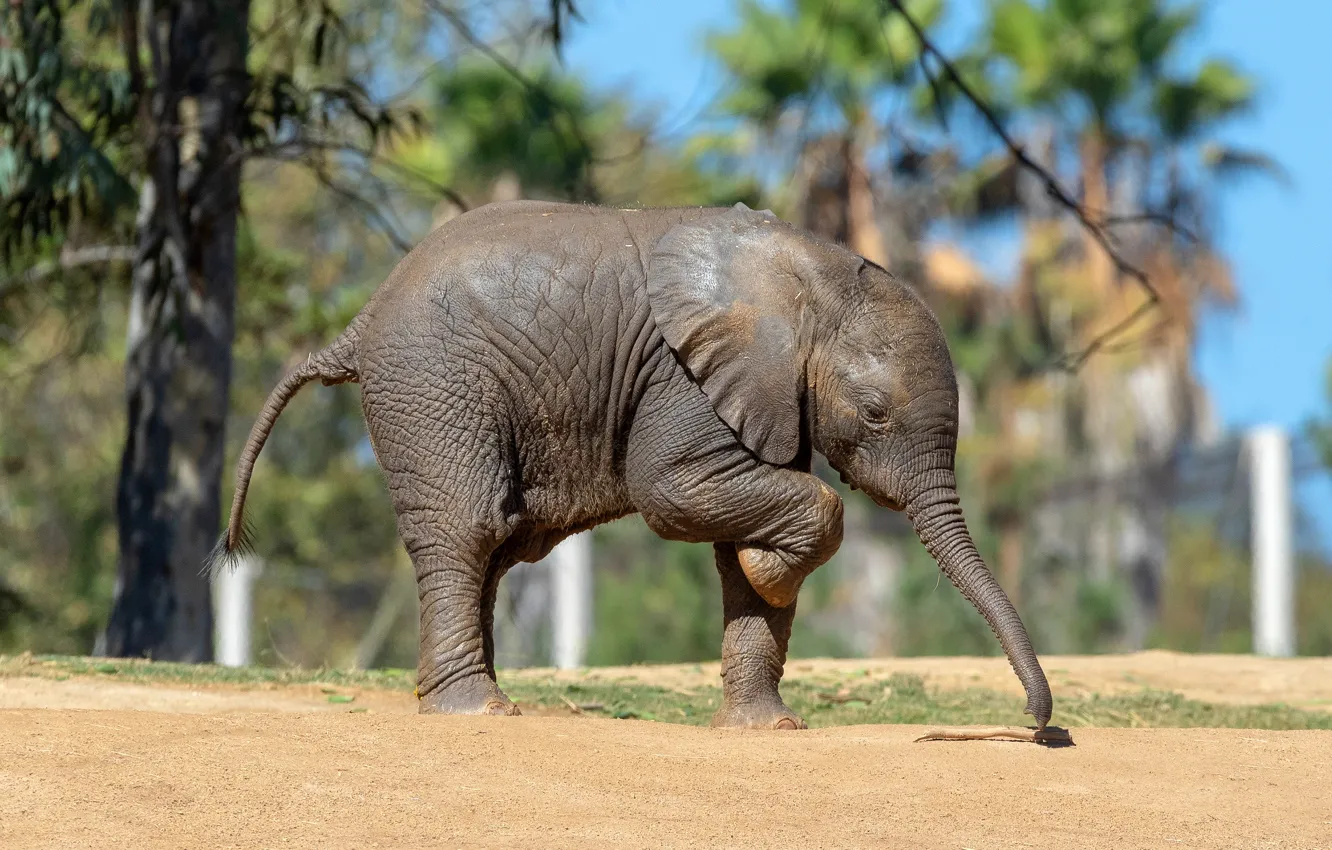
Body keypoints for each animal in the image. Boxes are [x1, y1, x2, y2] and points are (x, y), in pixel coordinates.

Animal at [209, 200, 1053, 730]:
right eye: (875, 413)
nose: (1036, 724)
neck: (810, 272)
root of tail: (357, 325)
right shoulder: (683, 379)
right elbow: (675, 493)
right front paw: (775, 569)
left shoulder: (760, 395)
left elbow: (729, 548)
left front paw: (768, 723)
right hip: (432, 385)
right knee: (465, 528)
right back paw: (476, 711)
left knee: (495, 543)